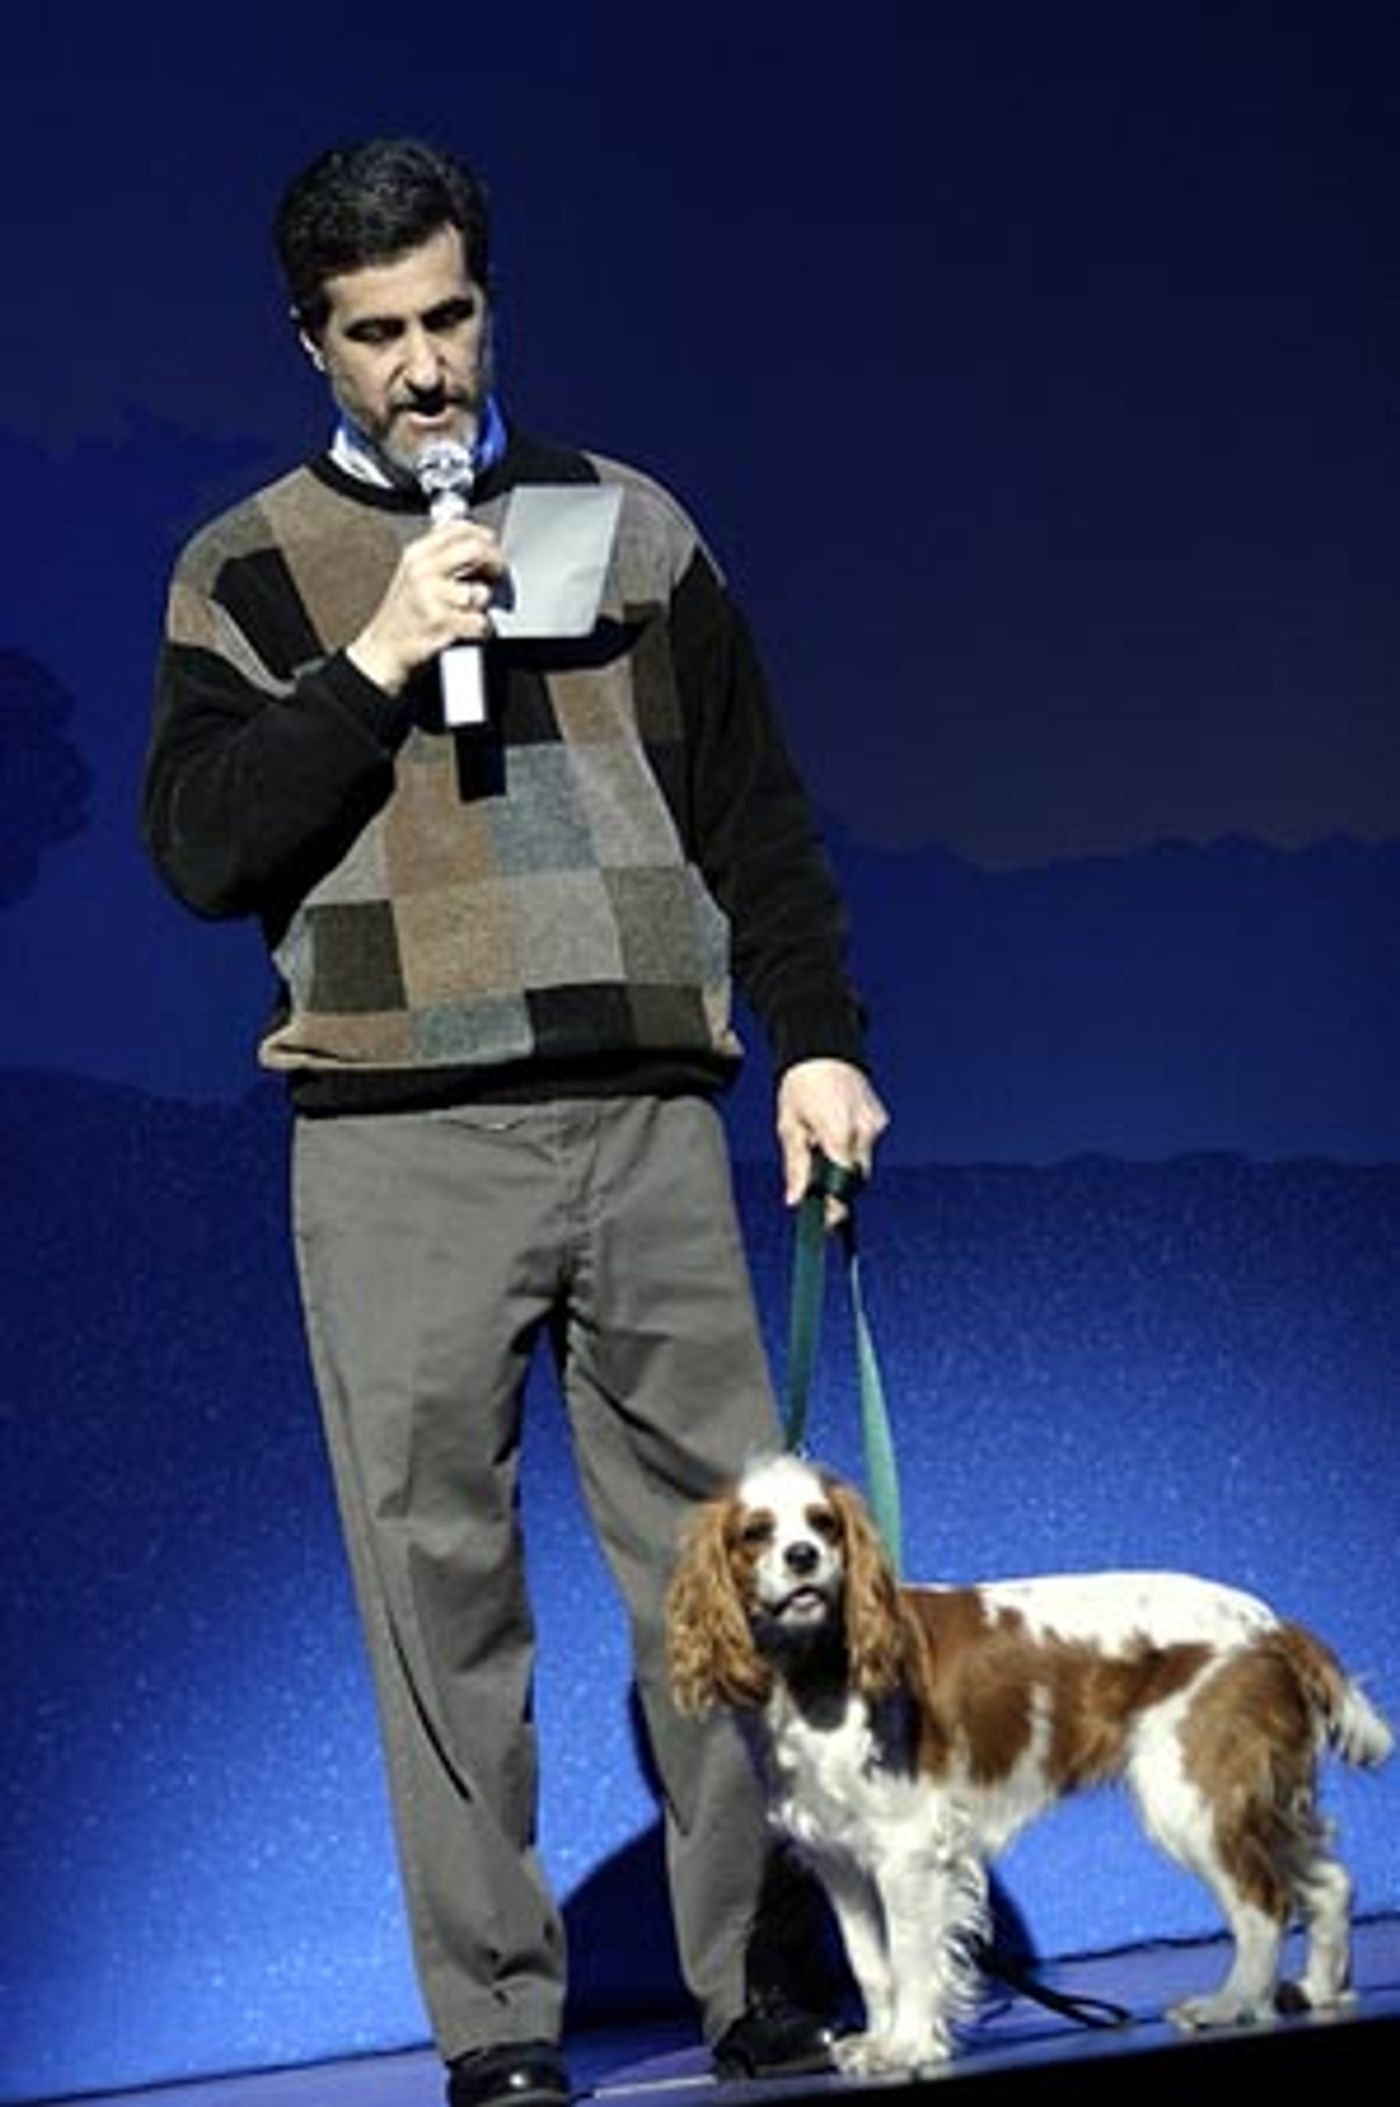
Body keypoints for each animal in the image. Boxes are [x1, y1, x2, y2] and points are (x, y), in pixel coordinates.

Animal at [666, 1450, 1393, 2074]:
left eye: (823, 1523)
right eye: (755, 1533)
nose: (803, 1556)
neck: (815, 1667)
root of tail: (1268, 1624)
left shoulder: (908, 1847)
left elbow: (909, 1955)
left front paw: (909, 2045)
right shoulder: (837, 1858)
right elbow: (869, 1963)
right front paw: (878, 2040)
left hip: (1192, 1797)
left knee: (1262, 1903)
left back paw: (1229, 2005)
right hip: (1253, 1798)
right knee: (1331, 1885)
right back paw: (1318, 1989)